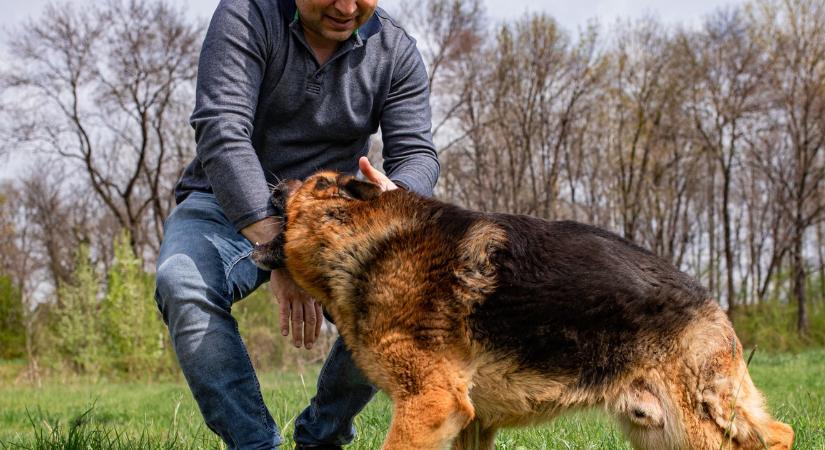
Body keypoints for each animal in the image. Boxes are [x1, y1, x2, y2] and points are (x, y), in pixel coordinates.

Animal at [251, 172, 792, 450]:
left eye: (310, 182)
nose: (270, 184)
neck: (371, 241)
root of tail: (710, 300)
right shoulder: (467, 423)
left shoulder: (431, 403)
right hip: (660, 430)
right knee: (776, 434)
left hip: (692, 426)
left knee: (772, 436)